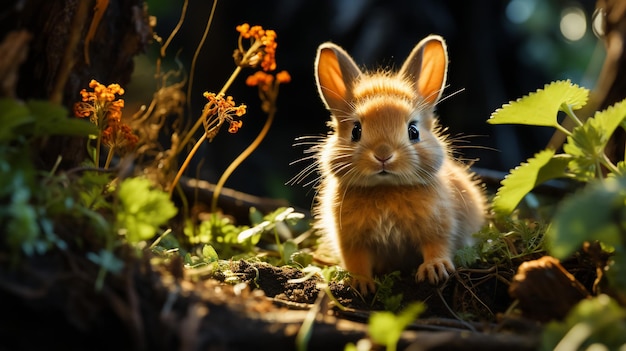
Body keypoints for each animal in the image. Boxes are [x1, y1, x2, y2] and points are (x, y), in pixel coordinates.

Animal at [302, 35, 488, 294]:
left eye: (413, 131)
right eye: (356, 130)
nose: (383, 155)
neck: (386, 187)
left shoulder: (440, 225)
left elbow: (438, 245)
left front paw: (435, 268)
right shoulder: (350, 240)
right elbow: (356, 260)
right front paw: (360, 283)